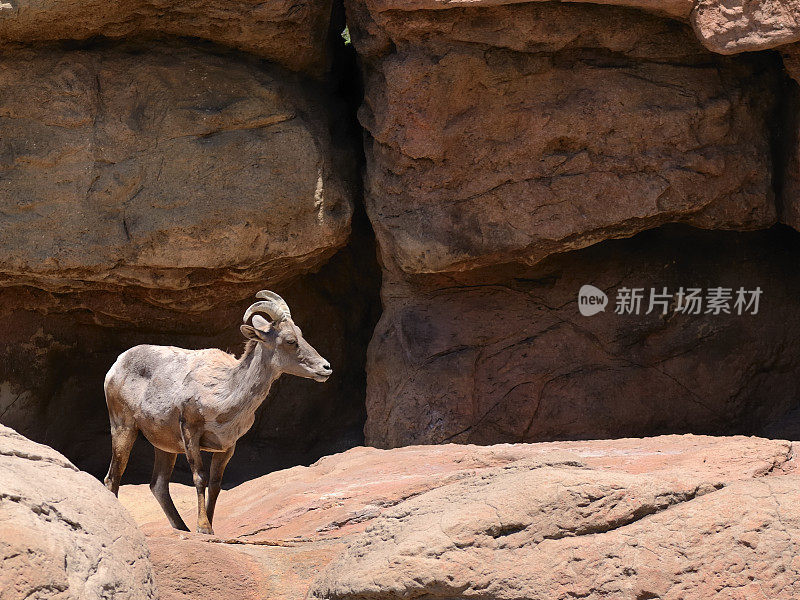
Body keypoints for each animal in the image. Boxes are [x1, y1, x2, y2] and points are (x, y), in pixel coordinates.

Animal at [101, 290, 330, 536]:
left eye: (300, 334)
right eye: (290, 340)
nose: (326, 368)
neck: (224, 393)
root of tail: (116, 365)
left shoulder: (228, 446)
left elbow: (216, 484)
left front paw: (210, 527)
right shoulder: (190, 432)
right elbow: (200, 478)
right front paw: (203, 528)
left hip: (165, 446)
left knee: (158, 485)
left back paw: (182, 528)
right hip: (123, 428)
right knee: (113, 477)